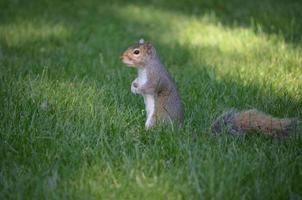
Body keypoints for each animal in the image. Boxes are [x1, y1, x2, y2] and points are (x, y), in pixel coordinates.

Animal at [121, 39, 300, 136]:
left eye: (136, 52)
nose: (121, 57)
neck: (144, 68)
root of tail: (179, 130)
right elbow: (136, 82)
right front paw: (133, 86)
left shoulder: (155, 79)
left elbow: (148, 88)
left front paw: (137, 89)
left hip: (158, 119)